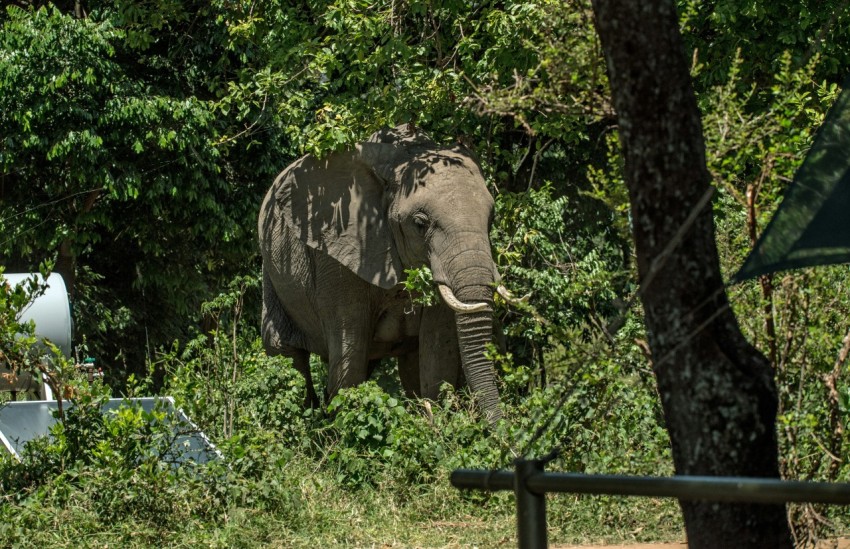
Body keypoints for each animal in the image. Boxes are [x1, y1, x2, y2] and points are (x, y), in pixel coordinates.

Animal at [258, 125, 510, 424]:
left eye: (492, 219)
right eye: (419, 224)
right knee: (287, 356)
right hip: (271, 272)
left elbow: (437, 351)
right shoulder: (337, 255)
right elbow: (350, 354)